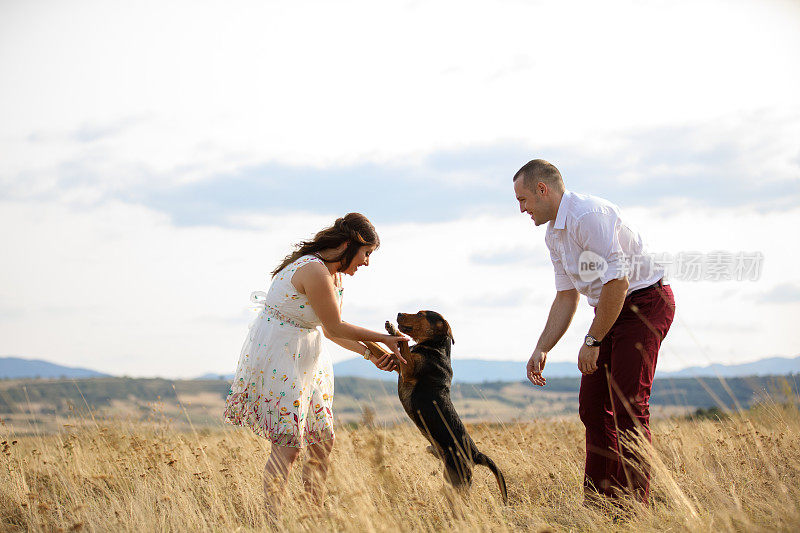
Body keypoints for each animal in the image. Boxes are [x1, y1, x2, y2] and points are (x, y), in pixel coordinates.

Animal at [384, 310, 510, 500]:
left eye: (420, 314)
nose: (398, 313)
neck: (435, 348)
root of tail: (475, 454)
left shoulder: (409, 370)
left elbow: (404, 345)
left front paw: (393, 330)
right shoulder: (401, 367)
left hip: (456, 482)